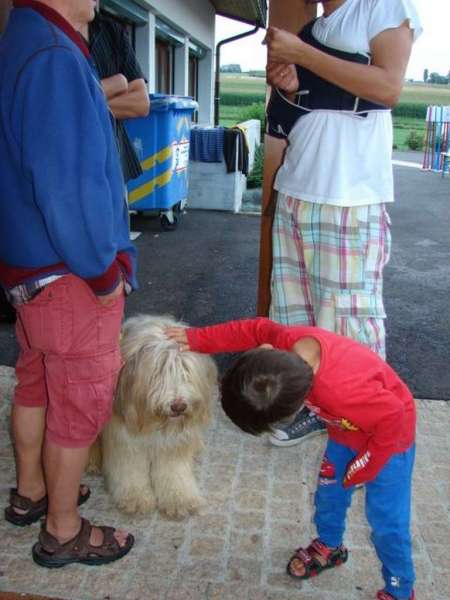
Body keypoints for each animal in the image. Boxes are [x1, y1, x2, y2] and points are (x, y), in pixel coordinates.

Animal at [90, 316, 218, 516]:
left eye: (185, 371)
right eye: (159, 372)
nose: (178, 406)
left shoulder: (173, 443)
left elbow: (173, 472)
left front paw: (180, 498)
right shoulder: (125, 439)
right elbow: (130, 470)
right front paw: (135, 498)